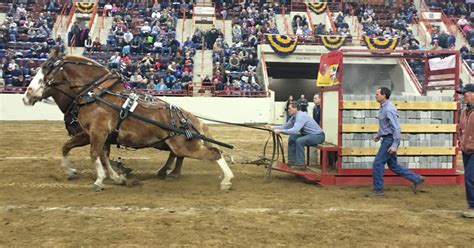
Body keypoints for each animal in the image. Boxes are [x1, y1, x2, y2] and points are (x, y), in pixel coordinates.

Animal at [23, 49, 234, 191]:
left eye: (47, 68)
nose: (27, 95)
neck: (95, 95)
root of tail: (188, 117)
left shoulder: (96, 132)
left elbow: (93, 154)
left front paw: (99, 180)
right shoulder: (101, 136)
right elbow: (92, 154)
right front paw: (115, 177)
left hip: (183, 145)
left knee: (214, 152)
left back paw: (226, 179)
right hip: (170, 144)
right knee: (179, 155)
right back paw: (169, 173)